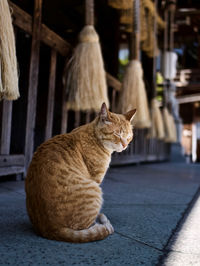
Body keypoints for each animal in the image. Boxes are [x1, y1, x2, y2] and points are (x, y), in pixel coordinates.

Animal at [25, 102, 136, 243]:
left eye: (129, 136)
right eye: (117, 134)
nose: (125, 145)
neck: (94, 136)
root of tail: (51, 229)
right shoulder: (96, 179)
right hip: (95, 189)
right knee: (89, 227)